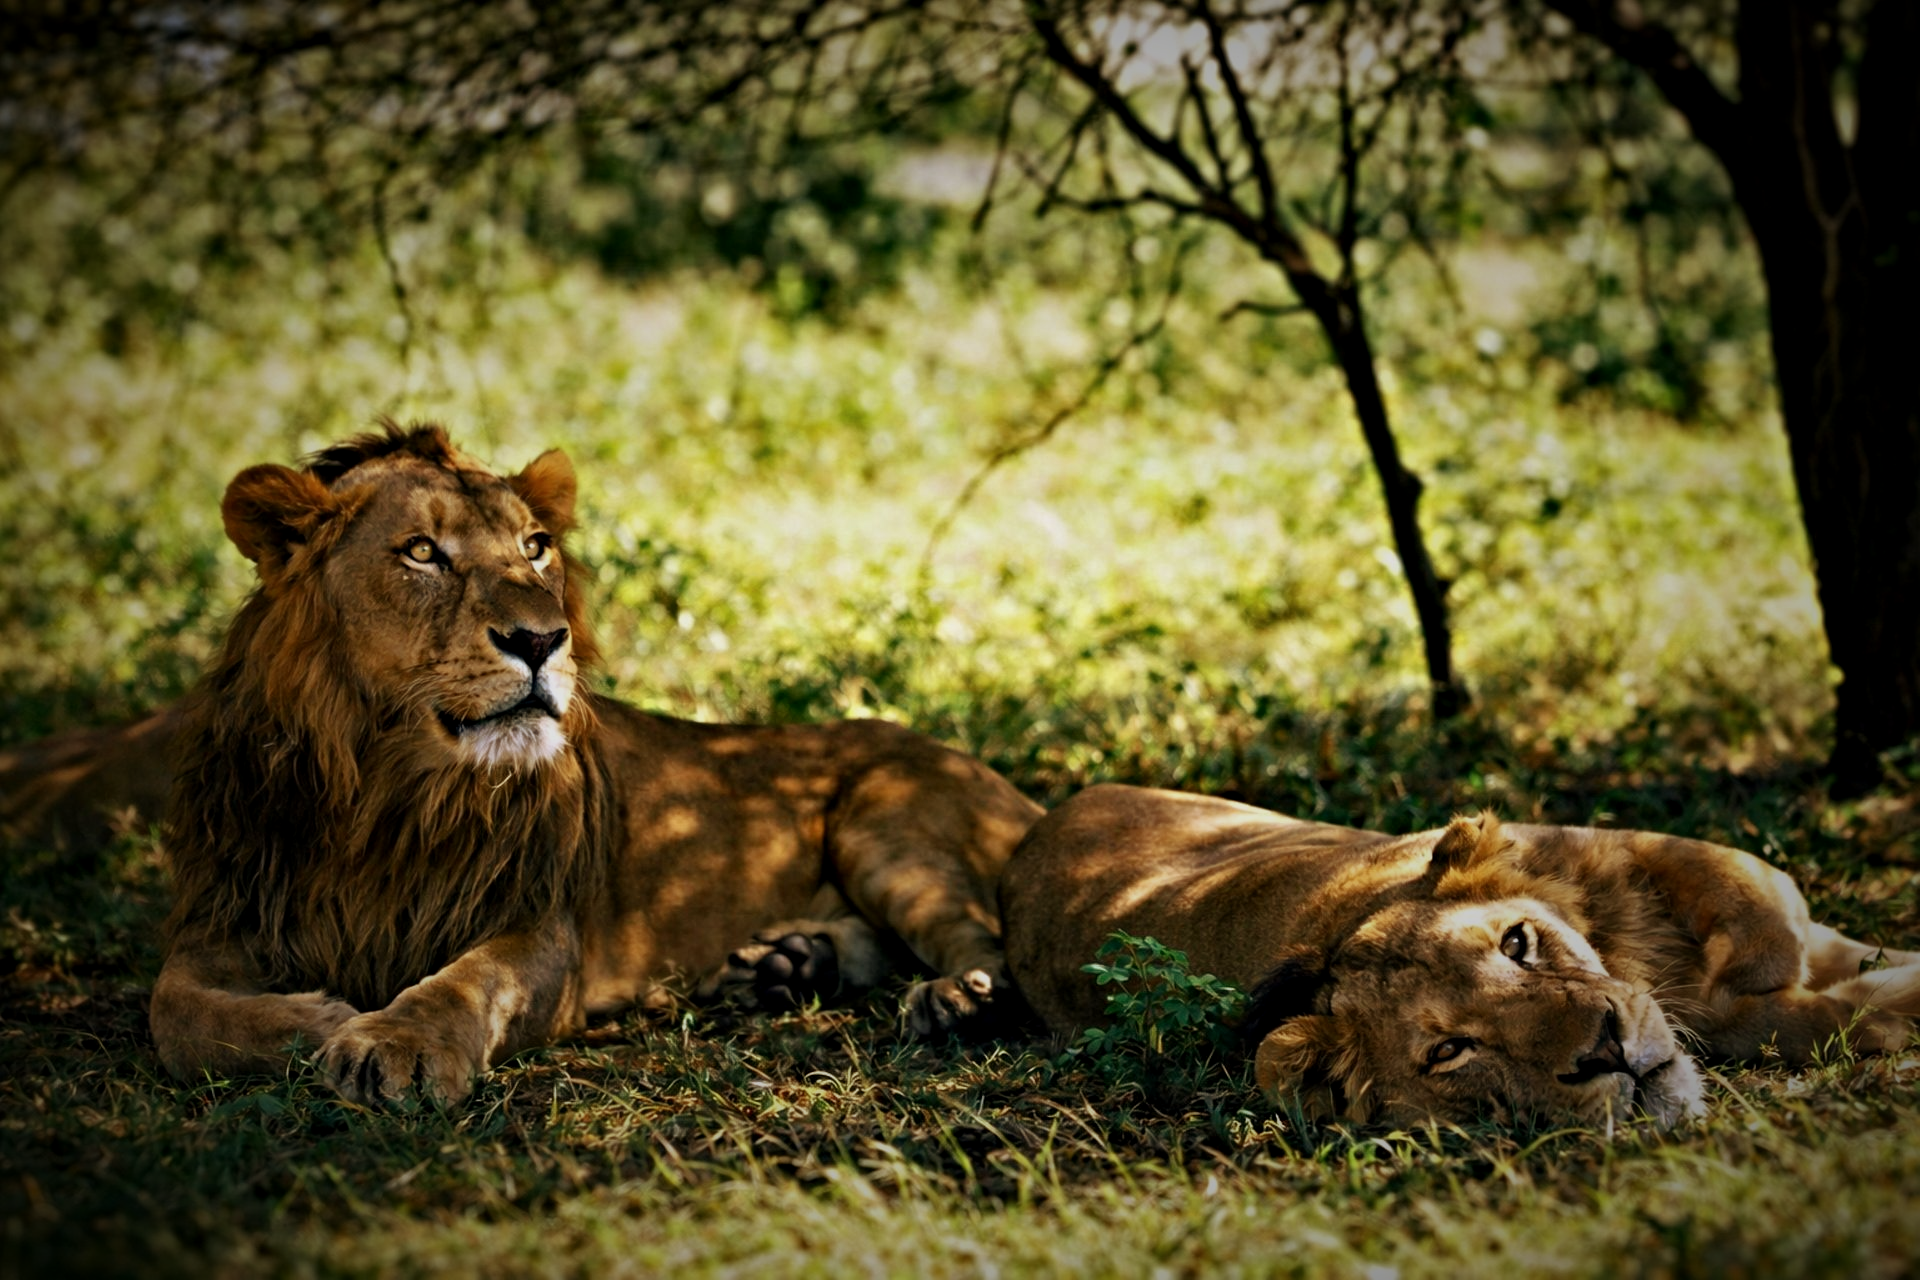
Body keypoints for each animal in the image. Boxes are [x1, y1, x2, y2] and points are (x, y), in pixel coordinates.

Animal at [18, 421, 1043, 1105]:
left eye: (535, 547)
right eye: (421, 552)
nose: (542, 639)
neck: (384, 790)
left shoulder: (540, 929)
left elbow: (469, 982)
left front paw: (390, 1040)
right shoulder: (224, 914)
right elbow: (178, 1013)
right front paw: (319, 1020)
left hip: (886, 814)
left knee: (990, 943)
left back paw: (950, 1001)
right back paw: (787, 965)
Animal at [1001, 784, 1920, 1129]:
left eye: (1517, 944)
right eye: (1452, 1051)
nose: (1607, 1052)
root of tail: (1039, 830)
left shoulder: (1615, 849)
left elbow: (1736, 883)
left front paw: (1770, 941)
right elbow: (1807, 1017)